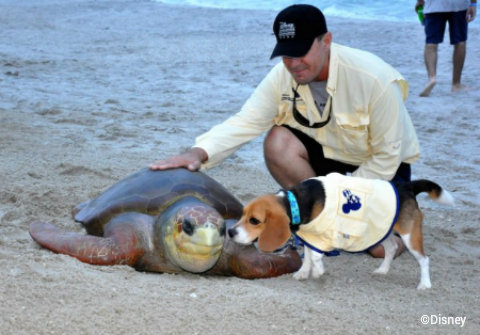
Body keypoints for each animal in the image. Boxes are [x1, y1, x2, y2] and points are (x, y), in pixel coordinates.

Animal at [229, 173, 454, 288]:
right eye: (242, 215)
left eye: (255, 221)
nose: (231, 232)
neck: (296, 201)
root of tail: (407, 186)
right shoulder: (310, 236)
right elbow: (308, 256)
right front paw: (303, 273)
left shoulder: (326, 235)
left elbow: (316, 256)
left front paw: (318, 271)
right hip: (382, 231)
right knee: (390, 249)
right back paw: (382, 270)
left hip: (409, 236)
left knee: (424, 259)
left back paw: (425, 284)